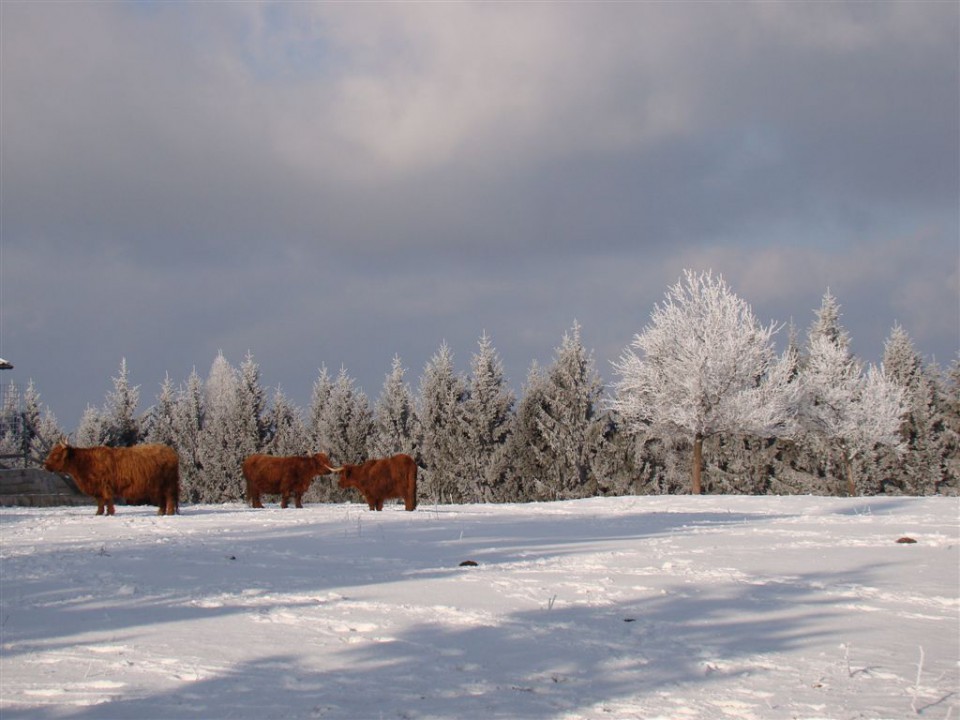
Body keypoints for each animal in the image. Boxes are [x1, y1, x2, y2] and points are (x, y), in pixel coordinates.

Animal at [41, 442, 180, 516]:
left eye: (56, 454)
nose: (45, 465)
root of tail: (171, 451)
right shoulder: (97, 488)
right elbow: (100, 501)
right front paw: (99, 513)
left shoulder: (105, 486)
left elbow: (107, 500)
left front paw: (109, 513)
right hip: (158, 486)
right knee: (162, 499)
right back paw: (160, 513)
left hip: (169, 485)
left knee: (170, 498)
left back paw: (169, 513)